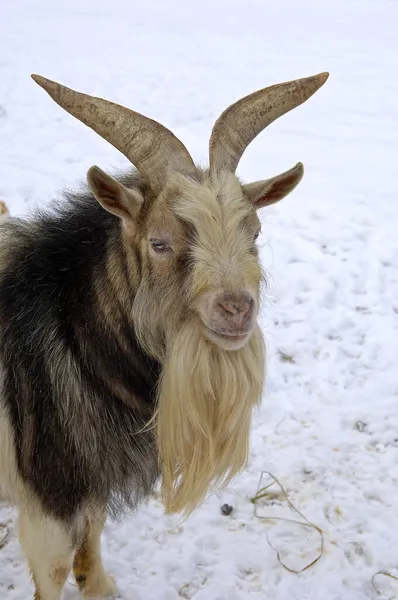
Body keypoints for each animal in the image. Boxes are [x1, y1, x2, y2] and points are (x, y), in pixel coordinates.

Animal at [0, 71, 328, 600]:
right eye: (159, 242)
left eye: (254, 233)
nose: (236, 308)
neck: (62, 326)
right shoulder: (48, 495)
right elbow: (53, 570)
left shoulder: (92, 475)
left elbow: (92, 533)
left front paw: (101, 587)